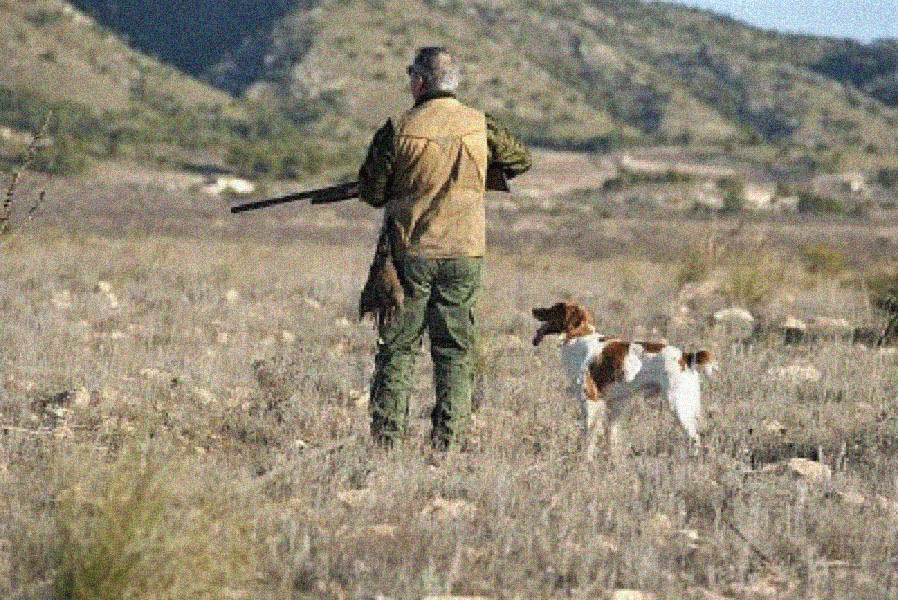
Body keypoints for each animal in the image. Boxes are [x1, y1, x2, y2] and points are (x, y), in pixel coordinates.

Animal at [532, 300, 712, 460]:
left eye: (554, 308)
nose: (533, 310)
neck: (578, 337)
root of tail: (686, 356)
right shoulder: (616, 403)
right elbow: (612, 437)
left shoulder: (590, 398)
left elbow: (589, 435)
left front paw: (585, 460)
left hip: (677, 404)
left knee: (694, 437)